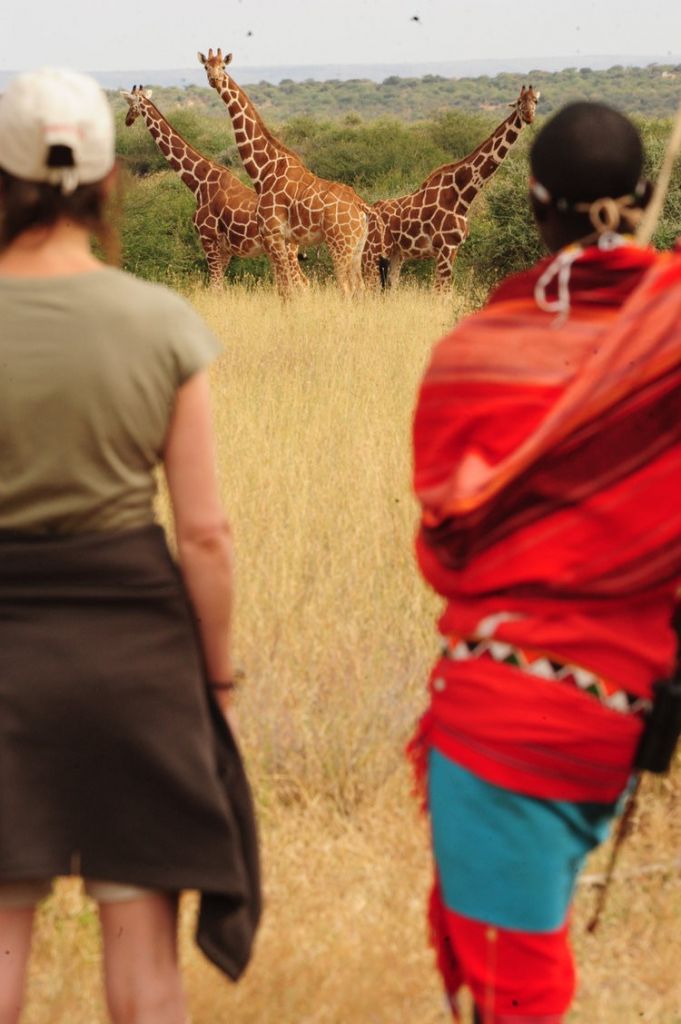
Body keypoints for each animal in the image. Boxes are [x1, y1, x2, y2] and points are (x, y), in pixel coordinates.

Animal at [120, 86, 303, 286]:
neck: (200, 183)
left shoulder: (208, 239)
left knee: (300, 283)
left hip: (285, 248)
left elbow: (215, 286)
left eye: (130, 103)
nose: (127, 120)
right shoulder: (225, 250)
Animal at [196, 49, 368, 299]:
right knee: (361, 289)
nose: (215, 80)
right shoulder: (281, 239)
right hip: (356, 247)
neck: (264, 170)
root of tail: (361, 207)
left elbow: (286, 289)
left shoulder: (273, 235)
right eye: (206, 67)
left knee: (346, 289)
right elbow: (286, 288)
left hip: (340, 243)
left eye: (224, 67)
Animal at [364, 85, 540, 290]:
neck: (462, 195)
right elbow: (442, 291)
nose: (528, 116)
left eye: (535, 101)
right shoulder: (446, 247)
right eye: (519, 102)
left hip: (395, 254)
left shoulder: (452, 248)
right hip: (372, 252)